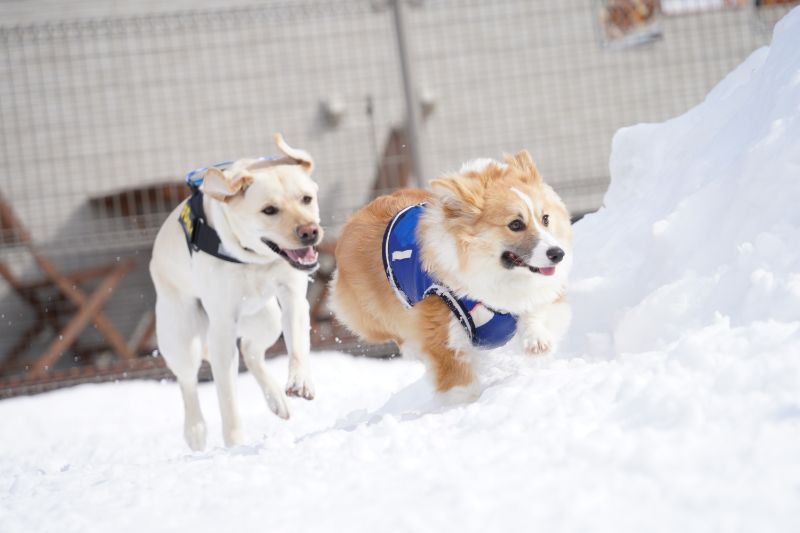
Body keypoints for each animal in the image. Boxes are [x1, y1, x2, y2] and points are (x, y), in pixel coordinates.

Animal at [150, 133, 322, 448]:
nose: (310, 231)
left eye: (306, 198)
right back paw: (195, 431)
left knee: (251, 350)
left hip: (267, 319)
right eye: (269, 210)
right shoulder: (221, 327)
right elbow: (227, 398)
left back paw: (277, 399)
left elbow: (297, 345)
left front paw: (299, 381)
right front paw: (235, 444)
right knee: (188, 381)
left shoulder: (292, 296)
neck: (253, 258)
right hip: (182, 336)